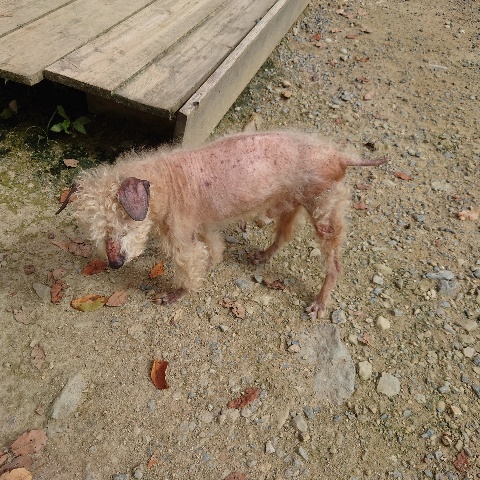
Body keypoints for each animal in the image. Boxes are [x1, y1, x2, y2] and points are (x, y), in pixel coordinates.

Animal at [57, 131, 386, 318]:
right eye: (97, 230)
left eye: (122, 225)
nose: (114, 263)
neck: (167, 183)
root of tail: (340, 155)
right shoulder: (204, 224)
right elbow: (213, 248)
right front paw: (215, 262)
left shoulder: (181, 235)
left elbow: (189, 265)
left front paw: (176, 295)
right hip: (292, 201)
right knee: (284, 234)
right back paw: (262, 256)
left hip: (324, 212)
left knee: (334, 264)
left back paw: (320, 301)